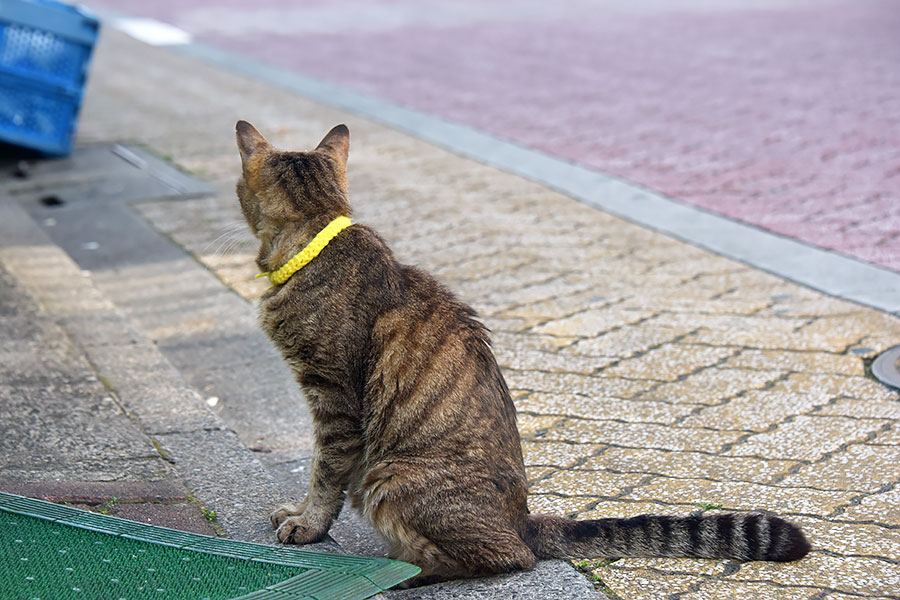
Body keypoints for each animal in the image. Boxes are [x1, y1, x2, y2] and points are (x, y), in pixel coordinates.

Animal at [232, 120, 808, 584]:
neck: (314, 242)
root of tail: (523, 520)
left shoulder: (334, 399)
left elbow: (323, 474)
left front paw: (307, 525)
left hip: (388, 477)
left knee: (505, 559)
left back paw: (407, 576)